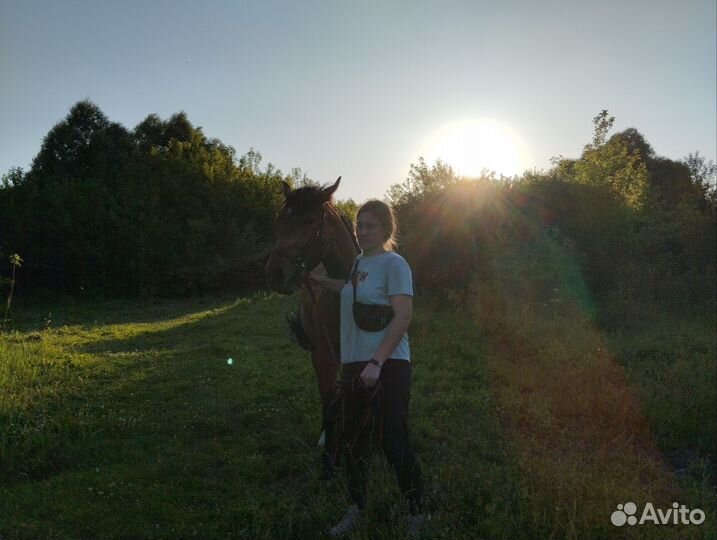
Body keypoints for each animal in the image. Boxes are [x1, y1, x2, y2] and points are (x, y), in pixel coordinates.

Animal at [264, 177, 359, 446]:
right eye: (280, 221)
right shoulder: (323, 356)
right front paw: (328, 437)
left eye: (309, 221)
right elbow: (328, 397)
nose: (274, 274)